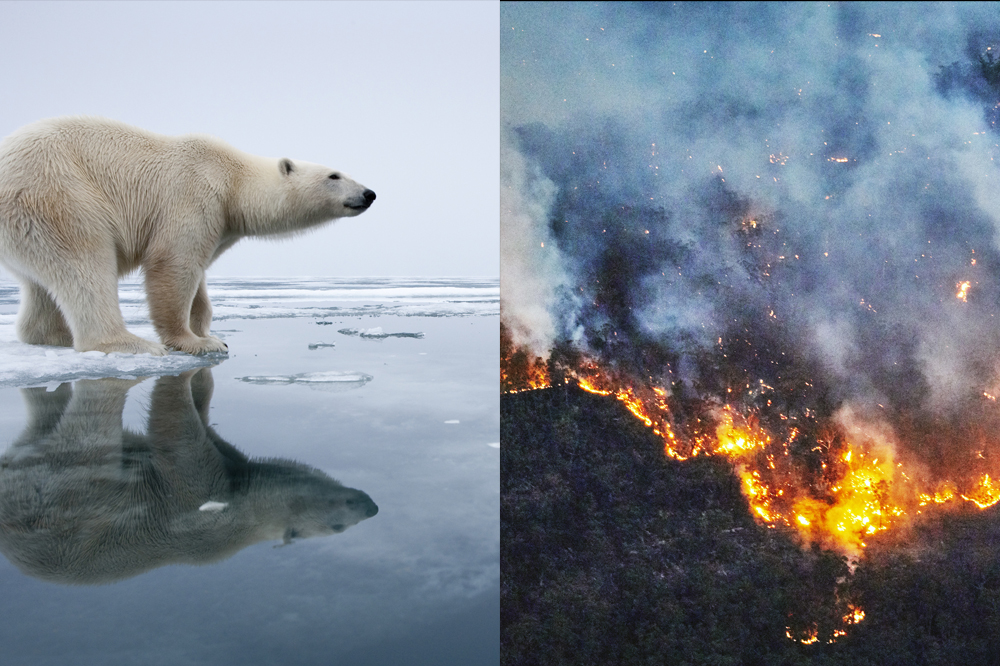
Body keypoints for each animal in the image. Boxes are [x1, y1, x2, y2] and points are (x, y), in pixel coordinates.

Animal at [0, 115, 378, 352]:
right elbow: (173, 264)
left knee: (42, 282)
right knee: (86, 262)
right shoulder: (195, 194)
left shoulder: (220, 223)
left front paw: (209, 331)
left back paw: (53, 336)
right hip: (56, 194)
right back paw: (131, 344)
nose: (369, 193)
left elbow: (199, 276)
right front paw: (196, 342)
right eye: (334, 175)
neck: (233, 180)